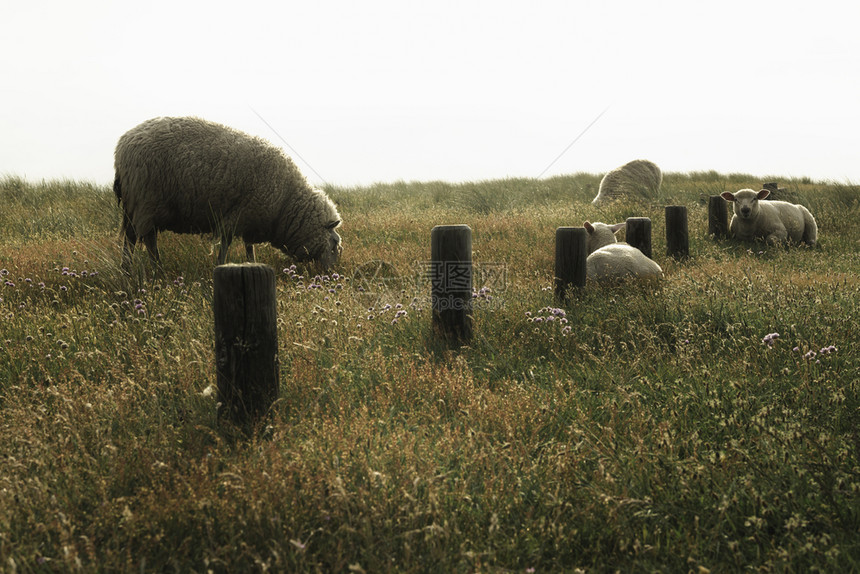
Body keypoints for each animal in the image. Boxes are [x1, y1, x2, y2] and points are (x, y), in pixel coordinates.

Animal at [114, 117, 342, 272]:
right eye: (334, 243)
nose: (332, 274)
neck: (285, 202)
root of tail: (123, 144)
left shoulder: (252, 218)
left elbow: (249, 247)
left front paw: (252, 262)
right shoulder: (239, 214)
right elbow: (226, 243)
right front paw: (220, 263)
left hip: (137, 206)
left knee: (135, 238)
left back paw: (134, 268)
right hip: (145, 202)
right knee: (143, 240)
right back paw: (150, 268)